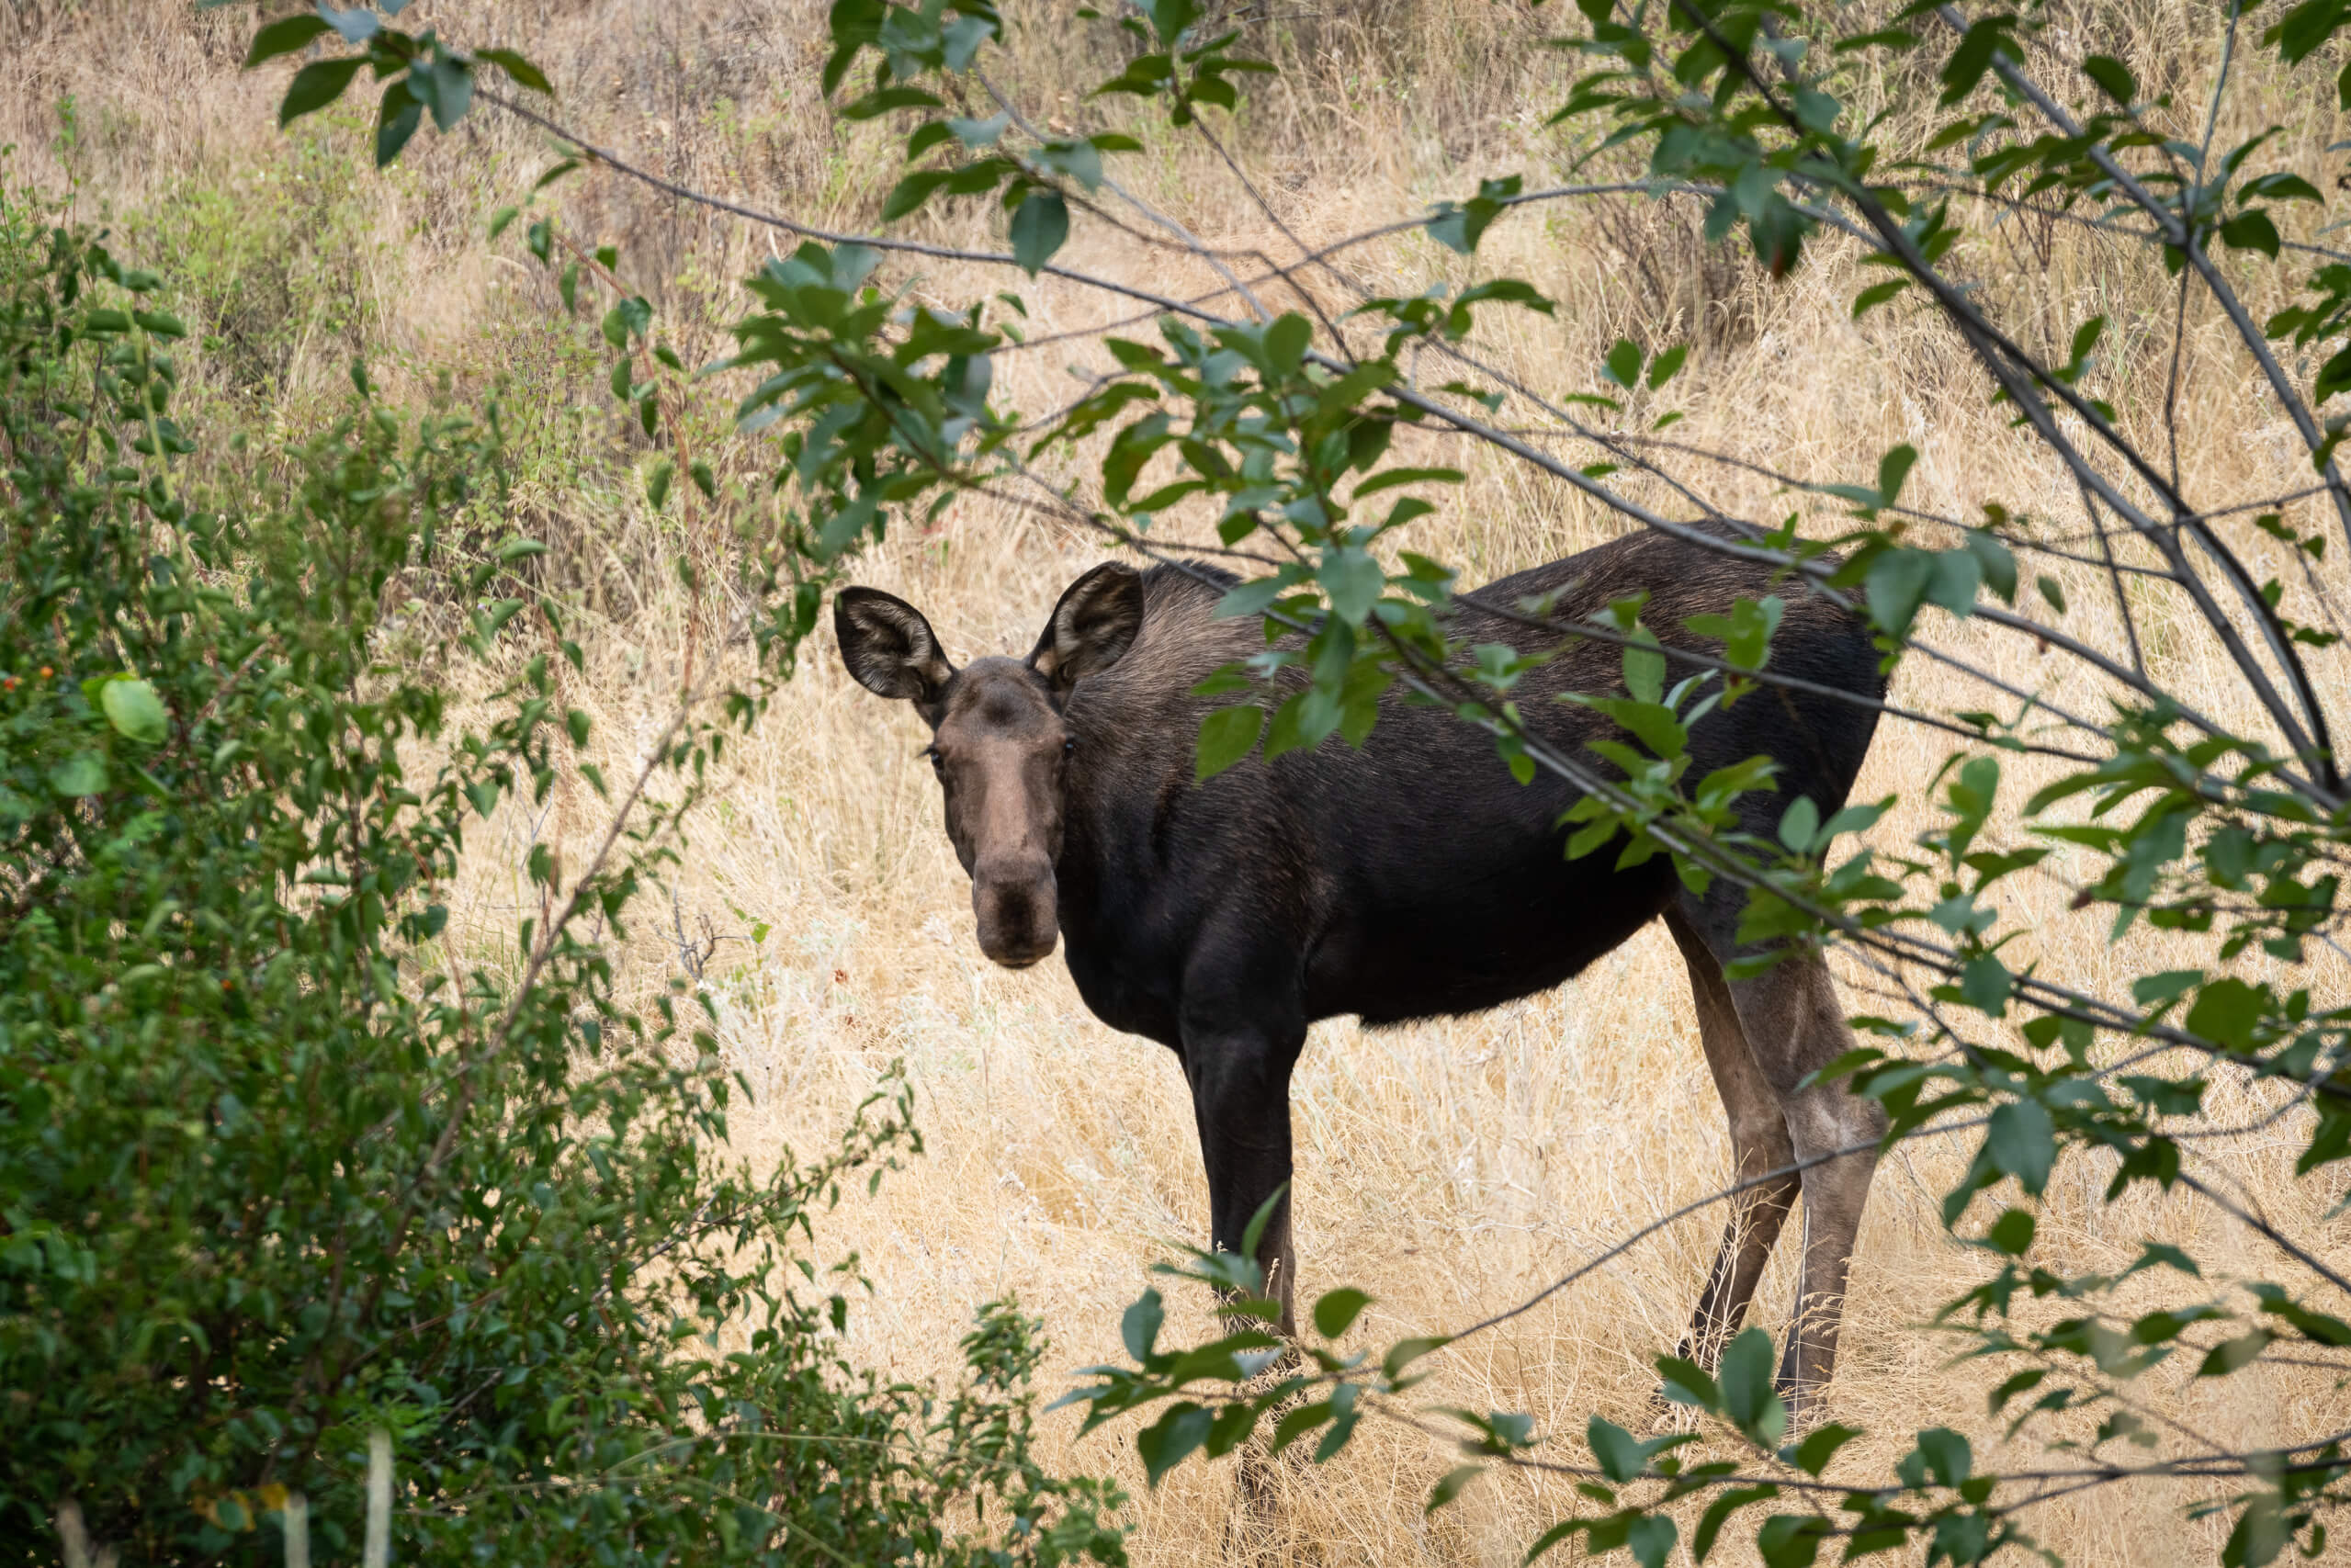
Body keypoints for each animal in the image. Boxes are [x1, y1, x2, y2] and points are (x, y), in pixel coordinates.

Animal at [846, 531, 1890, 1410]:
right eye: (939, 754)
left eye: (1060, 747)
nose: (1015, 905)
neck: (1109, 855)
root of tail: (1866, 613)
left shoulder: (1247, 1022)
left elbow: (1255, 1303)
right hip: (1687, 895)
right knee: (1760, 1128)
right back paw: (1683, 1400)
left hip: (1750, 871)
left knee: (1837, 1115)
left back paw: (1798, 1417)